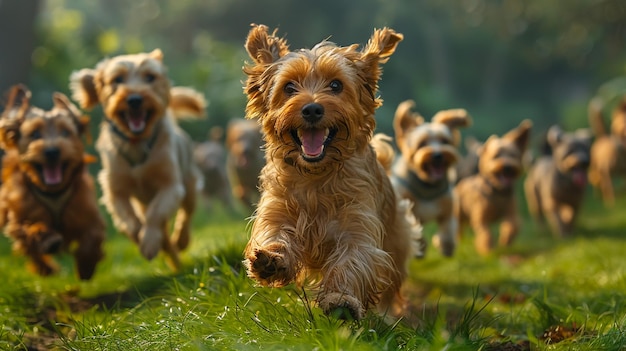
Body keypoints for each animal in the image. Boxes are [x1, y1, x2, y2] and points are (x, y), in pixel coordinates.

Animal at [0, 85, 103, 280]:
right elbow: (28, 229)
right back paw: (45, 268)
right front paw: (47, 239)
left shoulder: (87, 211)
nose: (52, 151)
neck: (53, 191)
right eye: (35, 134)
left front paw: (86, 267)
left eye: (65, 132)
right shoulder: (20, 214)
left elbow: (92, 235)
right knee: (30, 251)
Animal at [69, 48, 205, 270]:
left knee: (186, 214)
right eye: (117, 79)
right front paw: (141, 239)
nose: (134, 99)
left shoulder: (170, 185)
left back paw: (180, 241)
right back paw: (172, 257)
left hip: (189, 183)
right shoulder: (115, 190)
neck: (137, 143)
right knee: (163, 233)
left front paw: (148, 242)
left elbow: (155, 214)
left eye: (150, 77)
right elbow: (129, 221)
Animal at [240, 24, 420, 322]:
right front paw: (271, 259)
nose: (312, 108)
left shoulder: (357, 226)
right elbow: (275, 234)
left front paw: (341, 299)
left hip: (399, 237)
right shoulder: (277, 210)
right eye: (289, 87)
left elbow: (352, 261)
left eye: (336, 85)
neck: (315, 177)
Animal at [390, 100, 468, 258]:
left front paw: (446, 246)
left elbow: (447, 228)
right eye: (422, 143)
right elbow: (416, 232)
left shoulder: (448, 207)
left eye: (445, 141)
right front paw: (422, 247)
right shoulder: (409, 209)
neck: (428, 185)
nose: (438, 155)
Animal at [454, 120, 532, 256]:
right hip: (459, 214)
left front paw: (506, 241)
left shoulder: (510, 212)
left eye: (513, 155)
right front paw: (488, 251)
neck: (498, 192)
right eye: (496, 156)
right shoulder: (482, 218)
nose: (507, 167)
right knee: (457, 229)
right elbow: (486, 234)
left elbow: (513, 225)